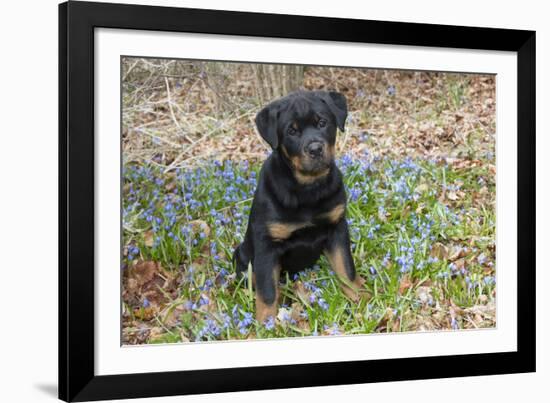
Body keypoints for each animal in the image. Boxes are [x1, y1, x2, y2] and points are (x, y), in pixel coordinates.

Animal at [234, 90, 366, 324]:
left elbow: (346, 268)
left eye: (322, 122)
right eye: (292, 131)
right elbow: (267, 291)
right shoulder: (267, 245)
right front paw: (266, 324)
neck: (307, 188)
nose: (315, 149)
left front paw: (357, 297)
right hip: (242, 255)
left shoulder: (337, 228)